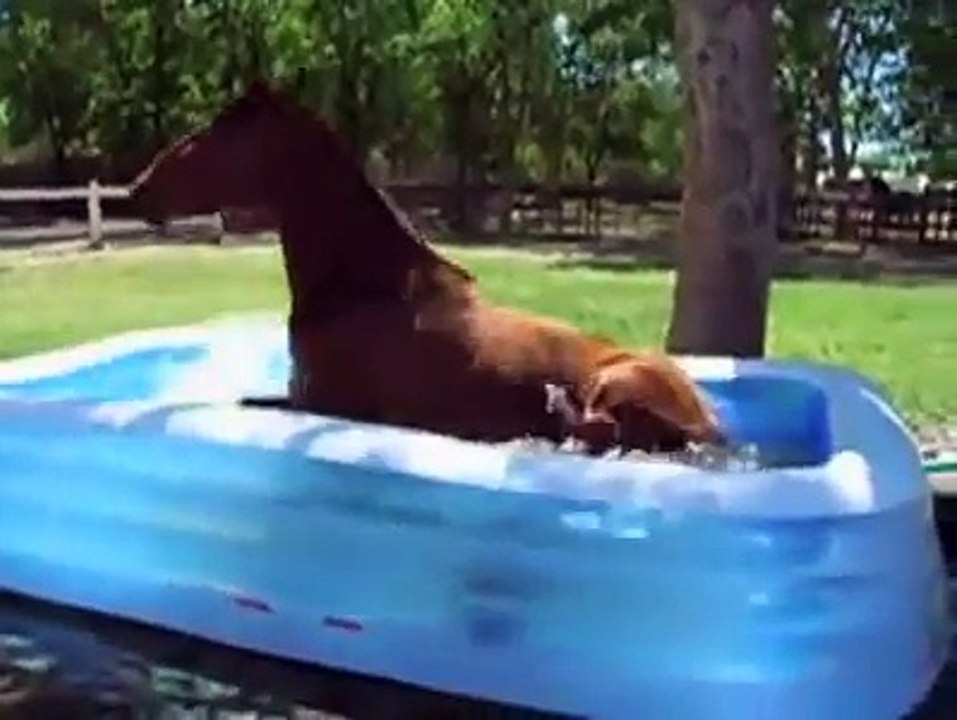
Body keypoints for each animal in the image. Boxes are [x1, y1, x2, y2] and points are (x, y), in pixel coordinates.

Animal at [128, 80, 725, 454]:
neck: (367, 286)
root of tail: (708, 424)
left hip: (610, 386)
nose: (138, 189)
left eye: (220, 132)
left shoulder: (319, 405)